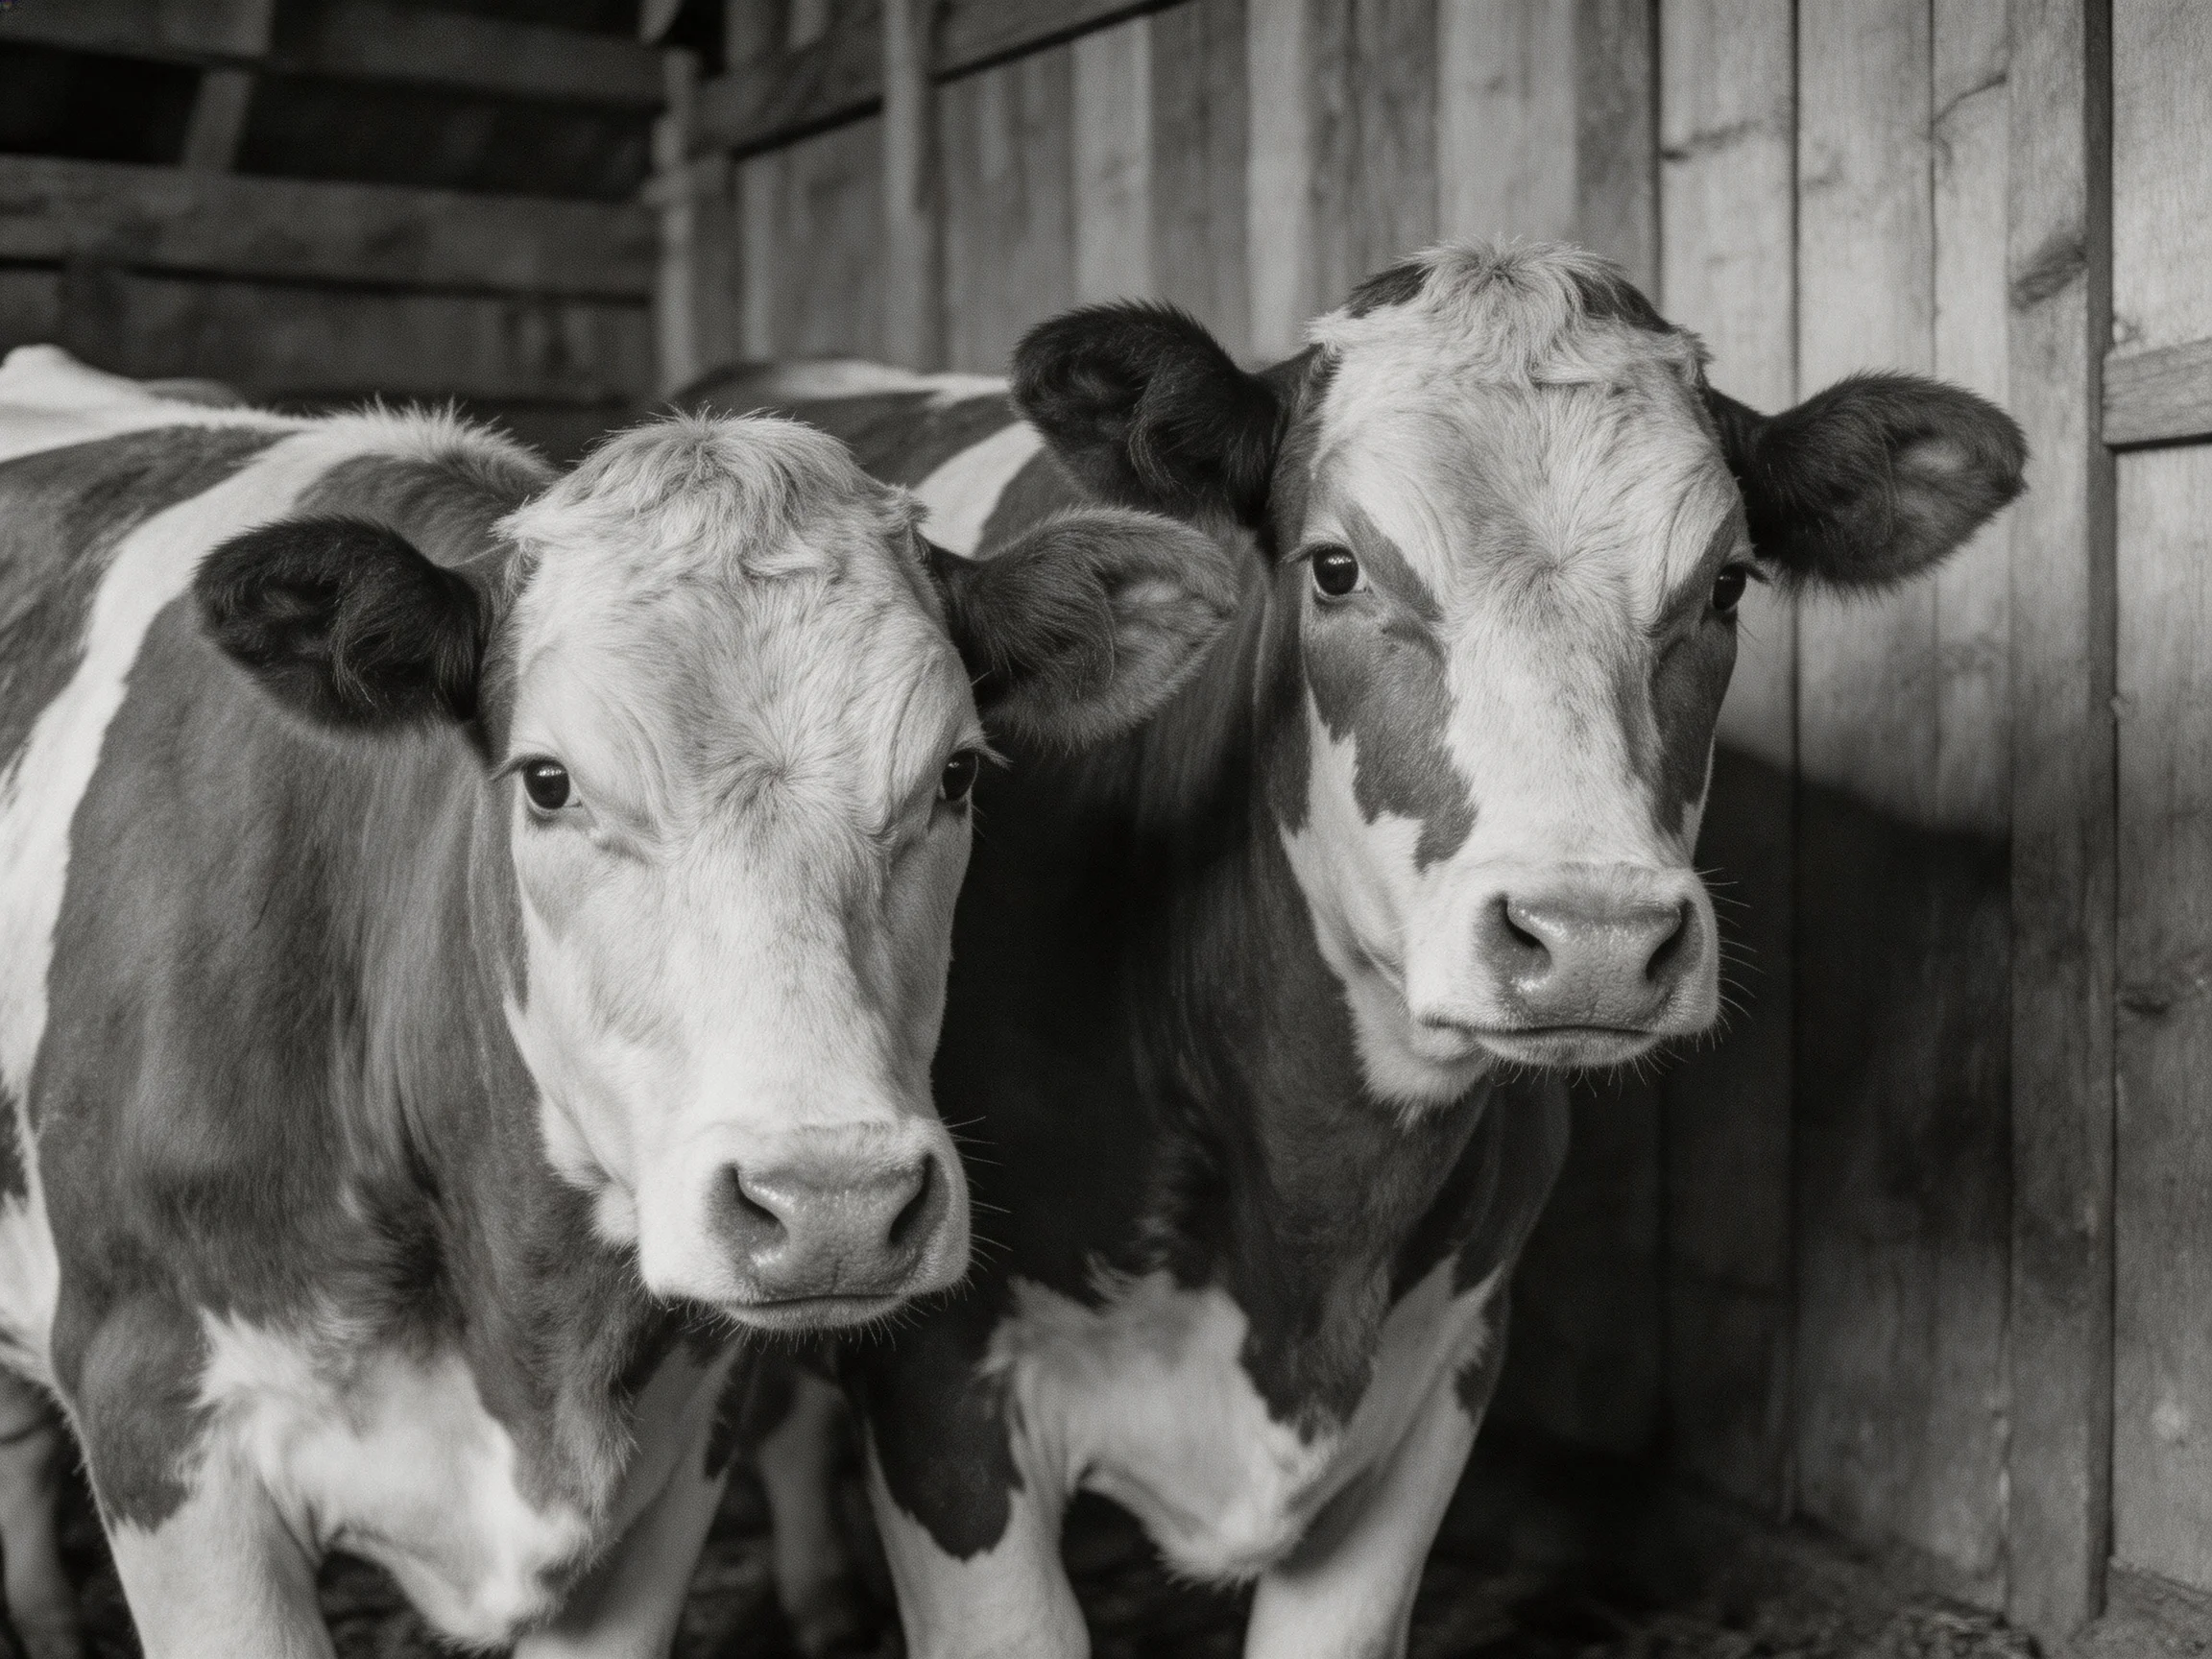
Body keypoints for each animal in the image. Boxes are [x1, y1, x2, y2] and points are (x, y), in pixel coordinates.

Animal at [683, 241, 2028, 1659]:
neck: (1309, 1206)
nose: (1596, 938)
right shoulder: (944, 1399)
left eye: (1725, 582)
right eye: (1335, 568)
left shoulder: (1444, 1377)